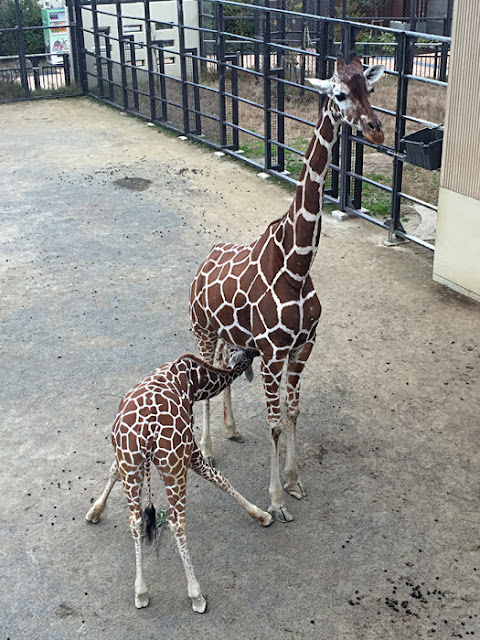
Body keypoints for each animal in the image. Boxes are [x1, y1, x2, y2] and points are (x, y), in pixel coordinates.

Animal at [85, 350, 270, 616]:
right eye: (247, 357)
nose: (254, 352)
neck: (196, 381)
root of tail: (147, 430)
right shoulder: (189, 450)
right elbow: (219, 477)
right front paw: (261, 514)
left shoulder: (122, 455)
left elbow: (112, 470)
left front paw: (95, 511)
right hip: (172, 465)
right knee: (177, 523)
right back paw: (196, 595)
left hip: (133, 460)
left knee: (135, 520)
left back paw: (141, 591)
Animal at [189, 55, 384, 524]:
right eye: (339, 94)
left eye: (369, 90)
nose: (375, 130)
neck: (296, 265)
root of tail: (202, 265)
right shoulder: (274, 352)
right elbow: (275, 423)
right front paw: (275, 500)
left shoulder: (304, 345)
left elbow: (294, 412)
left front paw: (295, 482)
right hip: (202, 330)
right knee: (207, 377)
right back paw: (208, 446)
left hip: (228, 335)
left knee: (221, 371)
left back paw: (231, 429)